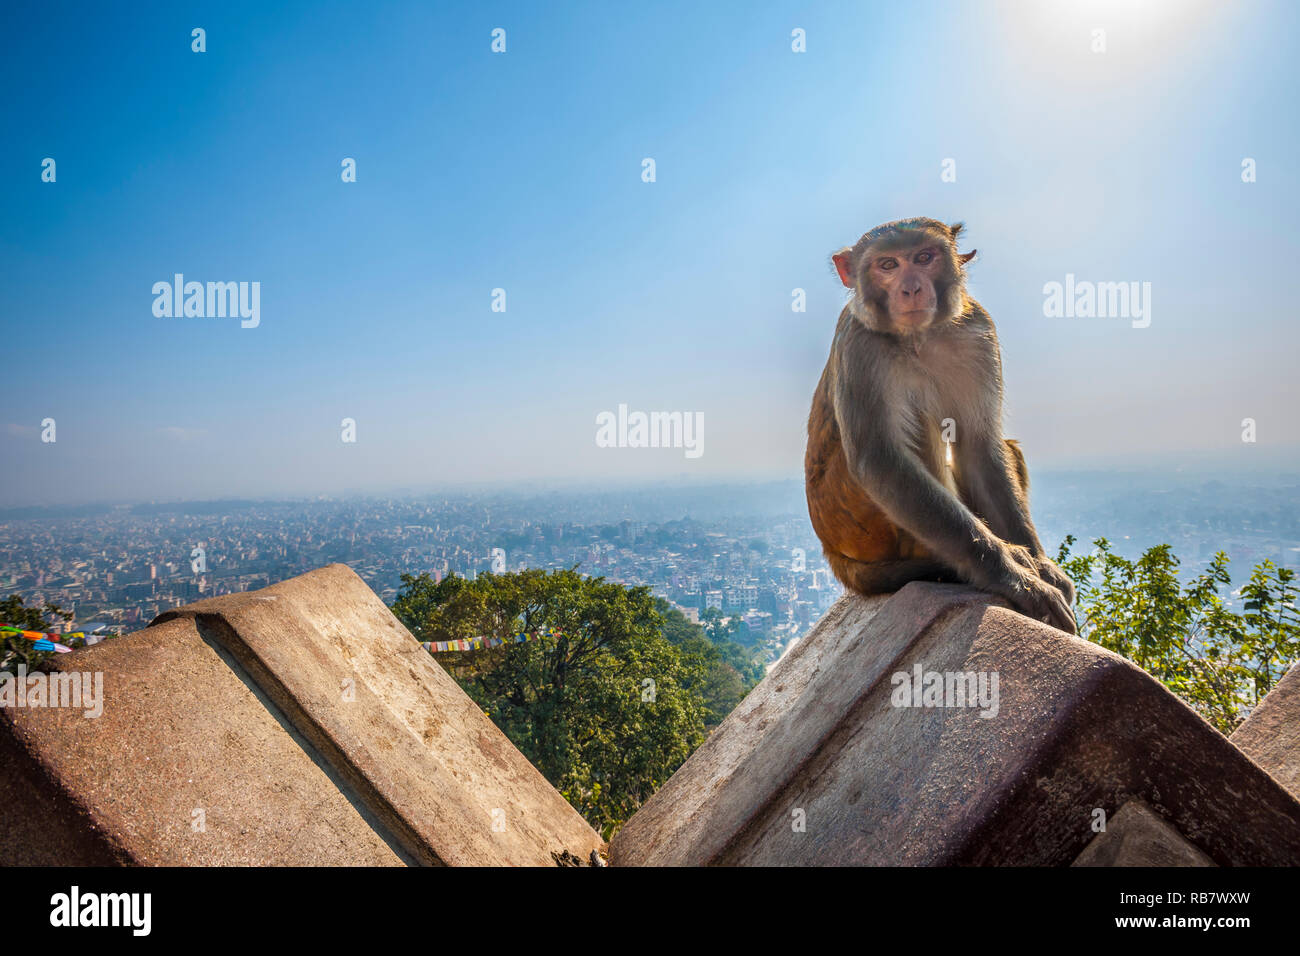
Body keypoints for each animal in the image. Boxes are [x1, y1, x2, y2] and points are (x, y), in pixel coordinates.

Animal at [805, 217, 1077, 633]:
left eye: (924, 257)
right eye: (887, 265)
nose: (911, 287)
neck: (920, 336)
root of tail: (833, 552)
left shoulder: (979, 329)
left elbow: (981, 447)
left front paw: (1040, 565)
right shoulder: (859, 344)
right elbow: (880, 462)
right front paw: (1012, 575)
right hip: (867, 525)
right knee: (921, 425)